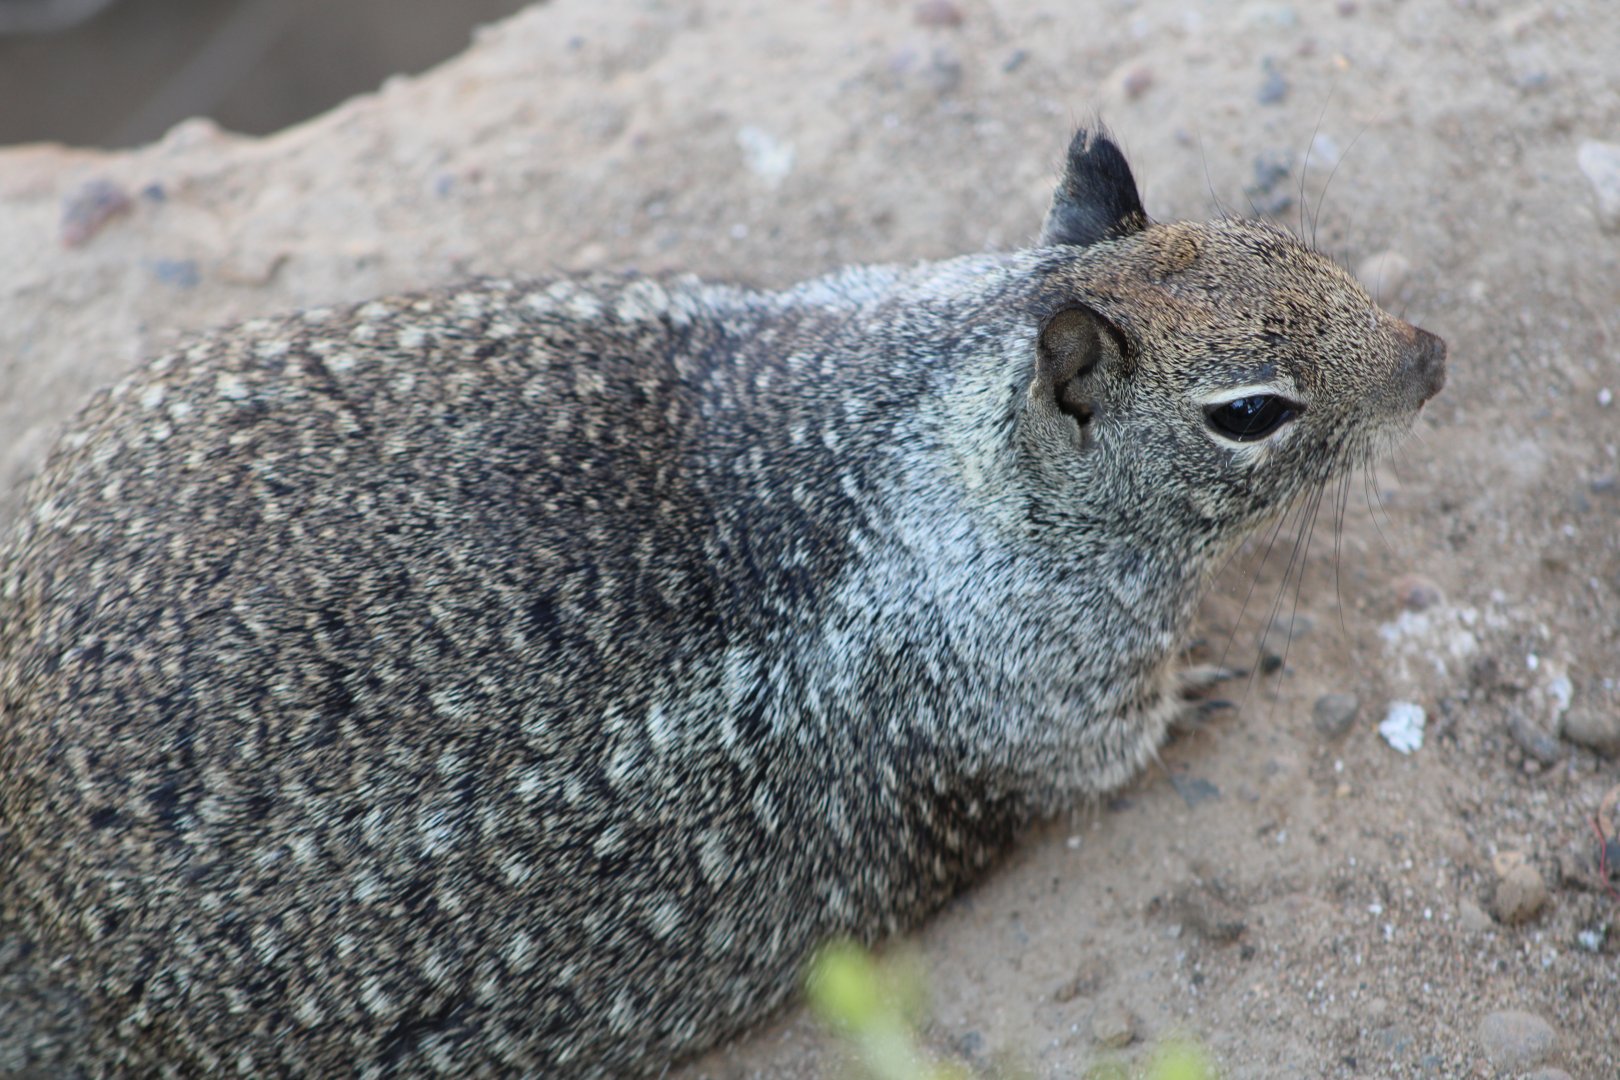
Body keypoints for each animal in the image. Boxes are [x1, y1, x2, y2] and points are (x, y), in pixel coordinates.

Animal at [0, 126, 1444, 1075]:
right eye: (1249, 412)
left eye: (1295, 251)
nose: (1434, 356)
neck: (932, 424)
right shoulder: (1063, 691)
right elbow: (1119, 742)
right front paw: (1202, 685)